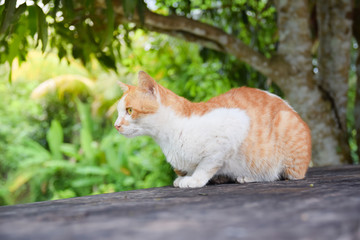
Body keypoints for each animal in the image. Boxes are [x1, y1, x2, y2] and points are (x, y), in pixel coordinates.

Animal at [114, 71, 312, 188]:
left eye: (129, 110)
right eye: (118, 112)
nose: (116, 125)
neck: (168, 137)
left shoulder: (234, 126)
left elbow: (206, 164)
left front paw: (194, 179)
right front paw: (187, 177)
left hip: (285, 133)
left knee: (280, 175)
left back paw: (248, 176)